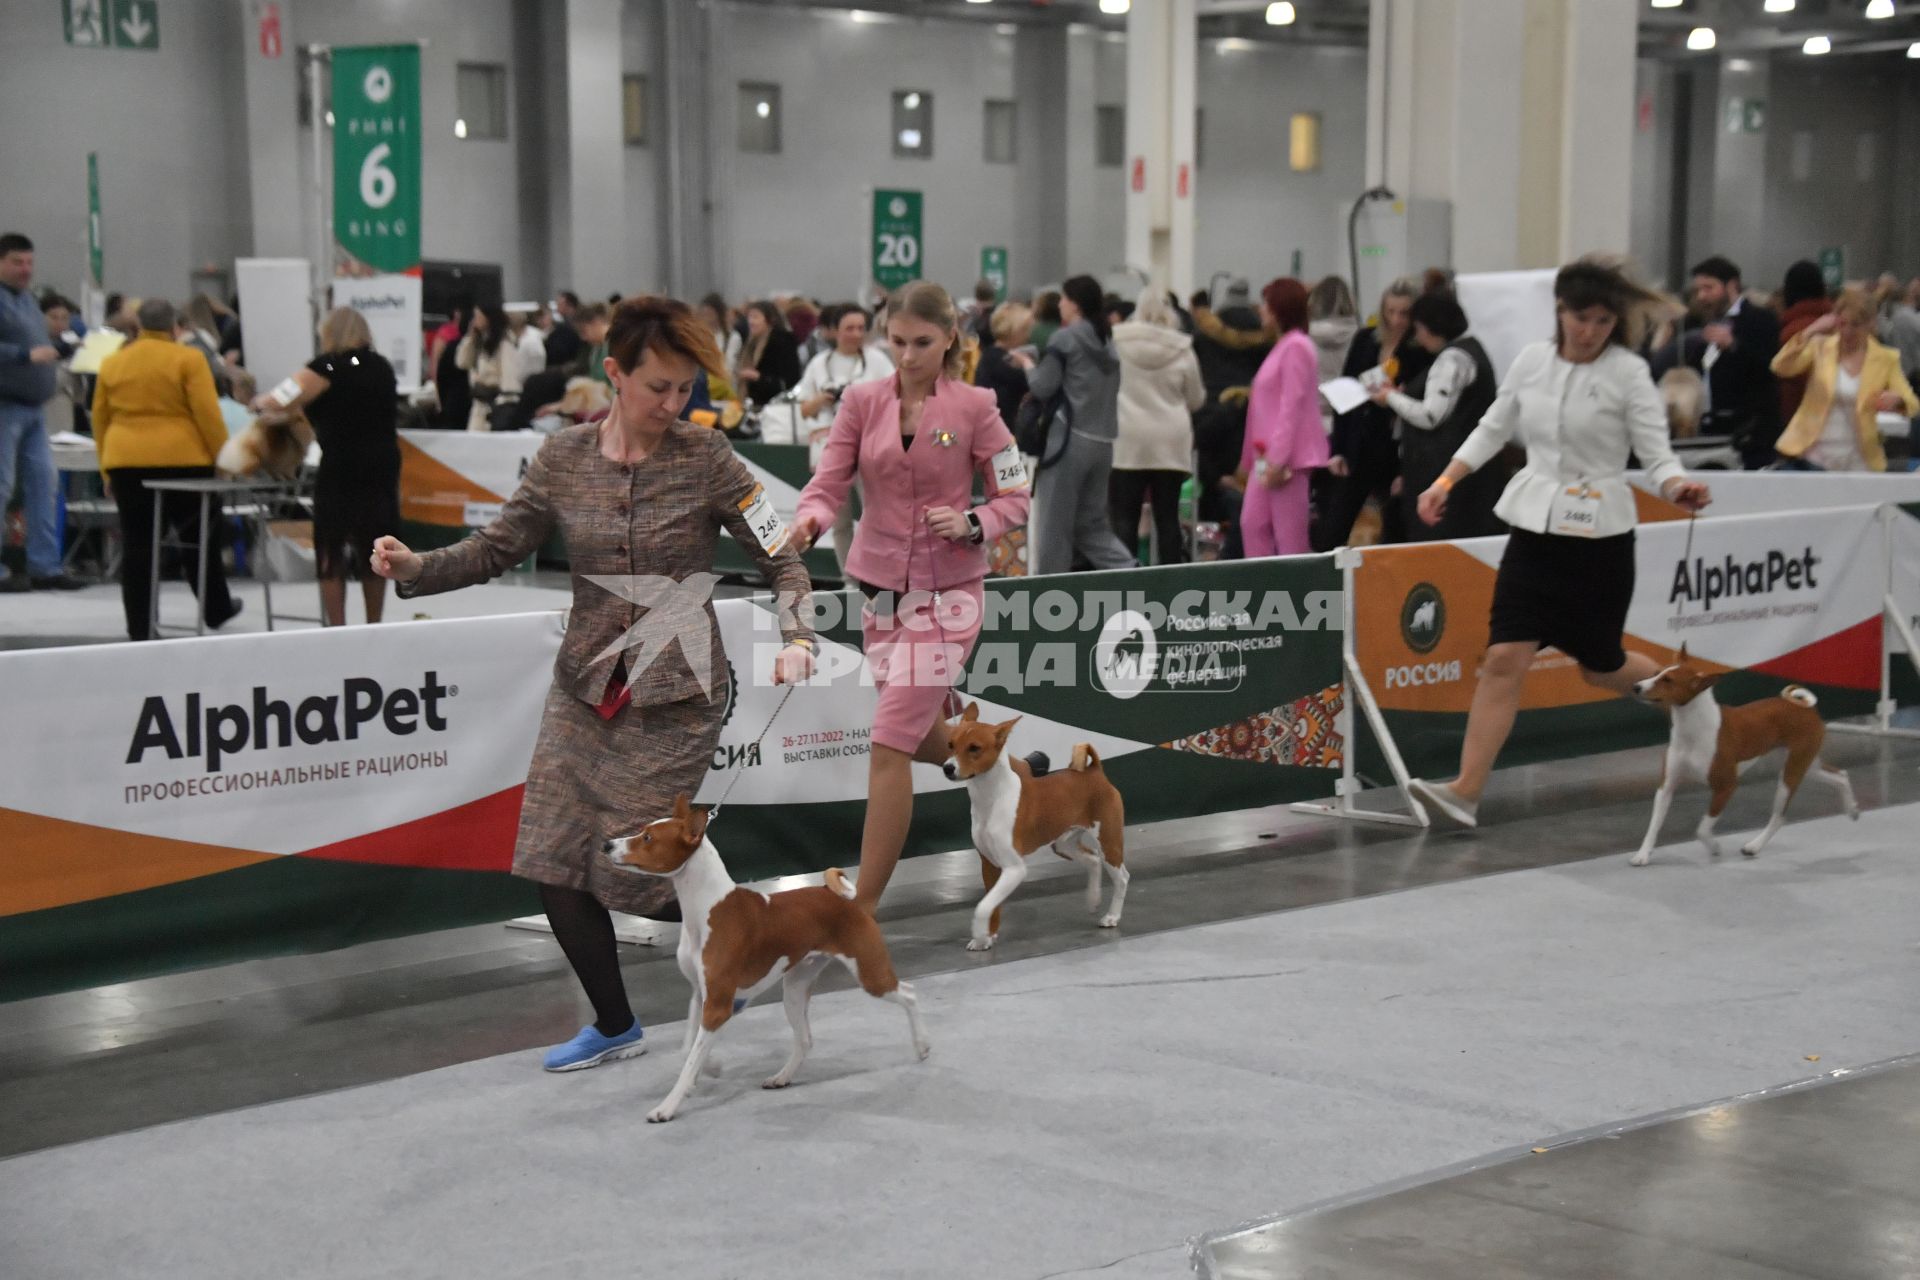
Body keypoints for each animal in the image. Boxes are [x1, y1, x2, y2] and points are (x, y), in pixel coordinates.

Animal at [599, 790, 929, 1120]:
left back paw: (922, 1046)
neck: (705, 909)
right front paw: (713, 1066)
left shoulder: (718, 1003)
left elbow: (691, 1059)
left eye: (647, 838)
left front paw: (667, 1106)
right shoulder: (700, 993)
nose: (606, 845)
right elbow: (688, 1048)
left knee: (910, 993)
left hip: (869, 973)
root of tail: (849, 901)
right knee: (805, 1039)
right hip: (795, 987)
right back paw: (781, 1077)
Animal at [940, 706, 1121, 955]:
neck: (991, 799)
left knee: (1122, 878)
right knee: (1093, 860)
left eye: (974, 748)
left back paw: (1112, 916)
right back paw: (1093, 899)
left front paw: (978, 934)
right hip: (1063, 844)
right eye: (950, 744)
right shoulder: (989, 864)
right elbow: (992, 905)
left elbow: (983, 906)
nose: (948, 768)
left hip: (1109, 842)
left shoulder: (1014, 868)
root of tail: (1095, 771)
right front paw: (988, 937)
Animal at [1620, 656, 1858, 867]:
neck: (1693, 730)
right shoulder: (1666, 786)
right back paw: (1853, 809)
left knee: (1779, 817)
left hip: (1792, 771)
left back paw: (1754, 846)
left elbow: (1702, 829)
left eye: (1668, 680)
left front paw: (1714, 847)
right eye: (1655, 673)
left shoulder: (1726, 786)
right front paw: (1642, 855)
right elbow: (1654, 826)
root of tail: (1805, 707)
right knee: (1841, 775)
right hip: (1805, 764)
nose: (1636, 686)